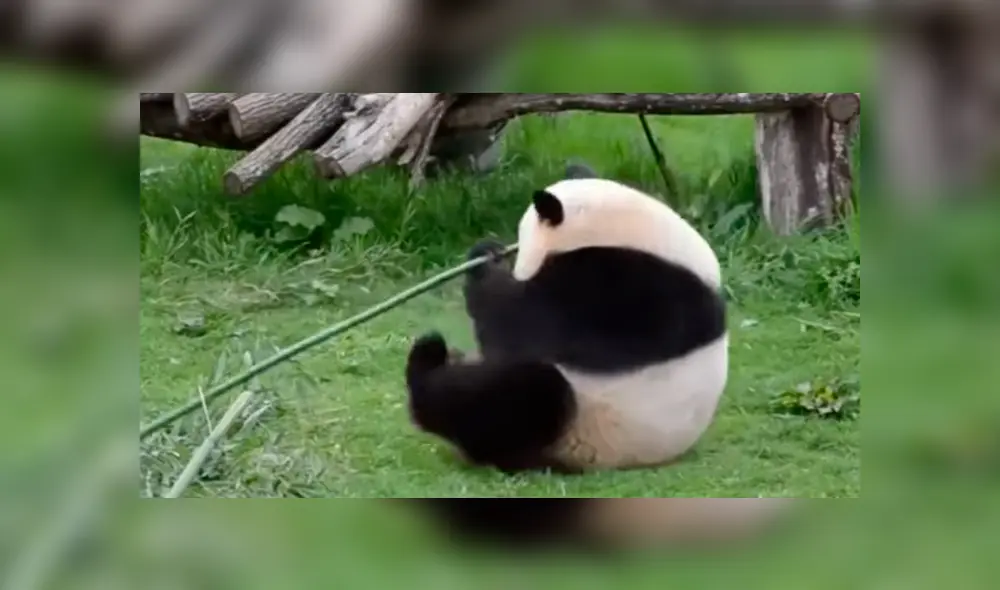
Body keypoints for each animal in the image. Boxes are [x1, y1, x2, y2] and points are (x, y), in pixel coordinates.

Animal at [404, 164, 729, 474]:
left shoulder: (621, 287)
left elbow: (522, 325)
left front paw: (485, 262)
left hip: (580, 427)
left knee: (529, 392)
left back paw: (428, 359)